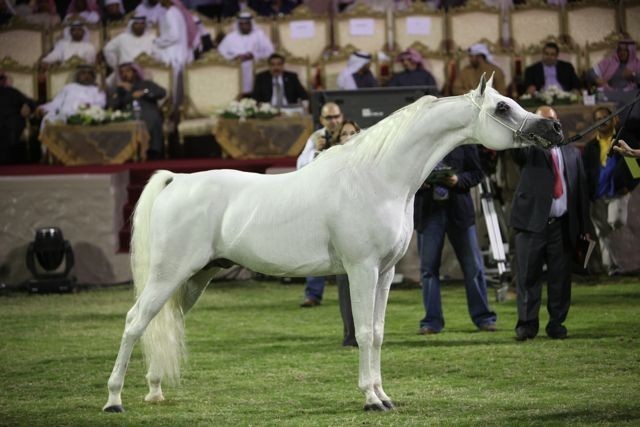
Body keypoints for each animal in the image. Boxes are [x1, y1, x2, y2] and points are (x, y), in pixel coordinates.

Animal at [103, 75, 564, 413]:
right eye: (502, 107)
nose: (554, 128)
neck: (378, 178)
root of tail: (176, 180)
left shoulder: (385, 272)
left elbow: (378, 333)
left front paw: (384, 395)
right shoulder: (361, 269)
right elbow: (362, 331)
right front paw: (370, 399)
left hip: (194, 279)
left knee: (162, 325)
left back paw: (155, 390)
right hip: (169, 275)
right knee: (133, 322)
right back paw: (114, 400)